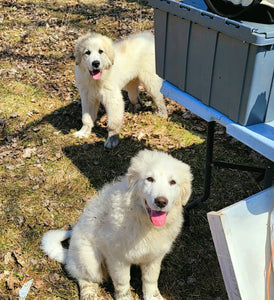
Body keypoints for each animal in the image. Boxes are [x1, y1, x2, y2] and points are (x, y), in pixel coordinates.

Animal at [41, 150, 192, 300]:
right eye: (149, 179)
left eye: (173, 182)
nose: (161, 202)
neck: (142, 220)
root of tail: (69, 256)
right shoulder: (117, 258)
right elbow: (122, 282)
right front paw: (125, 297)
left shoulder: (154, 256)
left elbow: (150, 280)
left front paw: (153, 297)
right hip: (89, 258)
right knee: (84, 277)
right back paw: (88, 293)